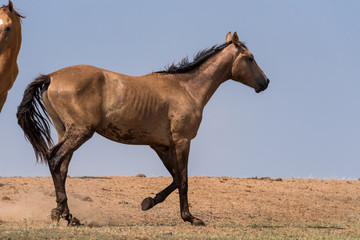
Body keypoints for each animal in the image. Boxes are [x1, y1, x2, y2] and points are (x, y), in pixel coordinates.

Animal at [17, 32, 270, 227]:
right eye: (250, 58)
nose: (265, 82)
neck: (186, 88)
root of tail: (51, 77)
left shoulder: (161, 145)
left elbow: (176, 178)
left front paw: (148, 202)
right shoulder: (182, 141)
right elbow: (184, 179)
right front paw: (190, 218)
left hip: (66, 132)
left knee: (61, 168)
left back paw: (69, 217)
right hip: (80, 132)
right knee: (54, 159)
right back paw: (59, 213)